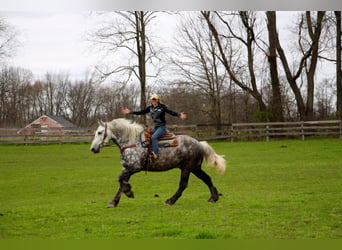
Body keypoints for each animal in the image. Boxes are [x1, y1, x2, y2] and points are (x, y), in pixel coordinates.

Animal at [89, 118, 226, 207]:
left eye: (100, 132)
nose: (93, 149)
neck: (132, 142)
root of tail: (199, 143)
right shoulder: (127, 168)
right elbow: (121, 183)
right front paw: (114, 201)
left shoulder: (134, 167)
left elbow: (120, 180)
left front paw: (128, 192)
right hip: (195, 168)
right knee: (207, 178)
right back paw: (213, 198)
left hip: (187, 168)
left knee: (183, 184)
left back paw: (170, 201)